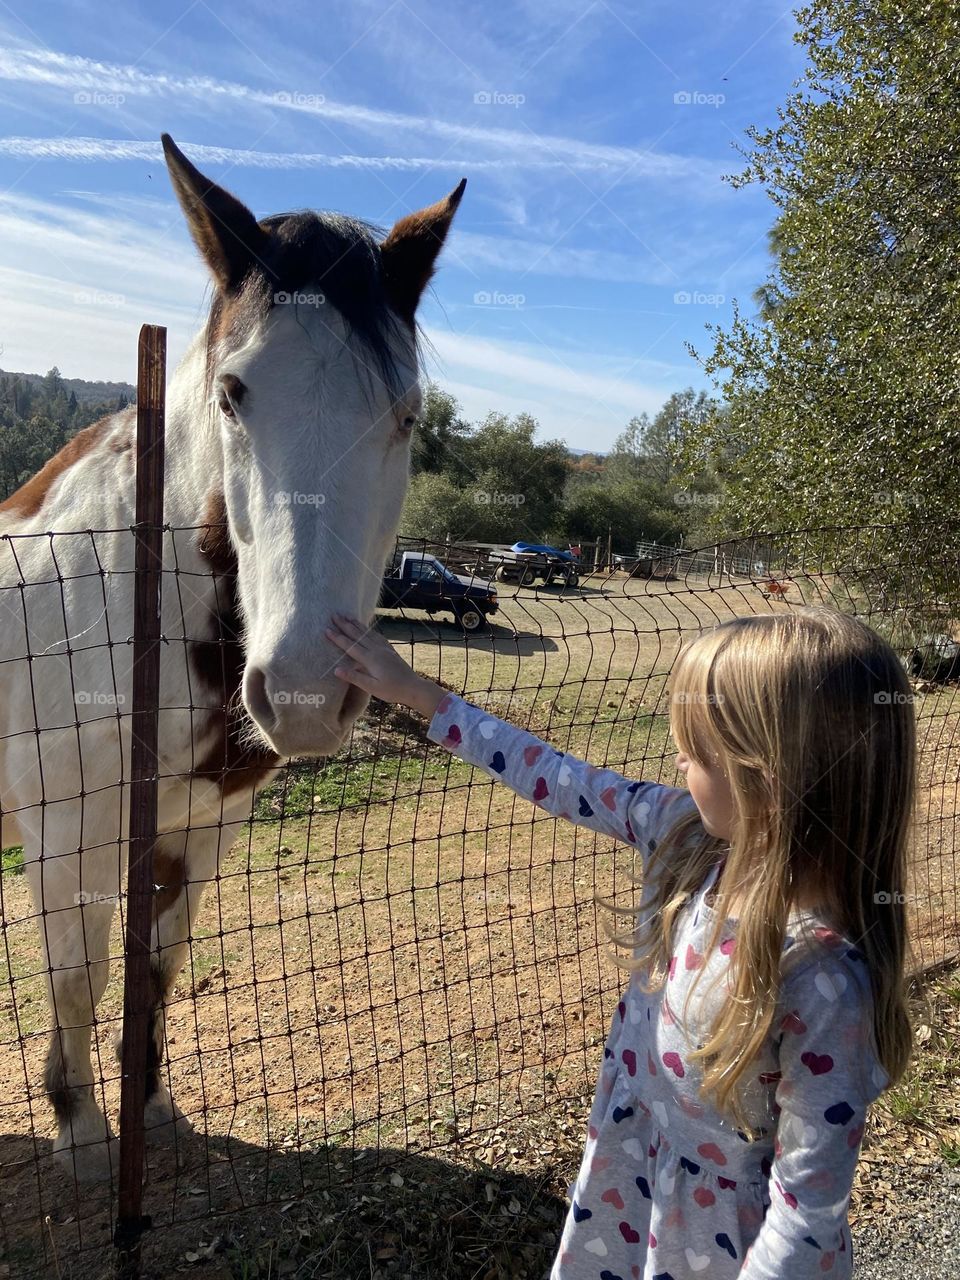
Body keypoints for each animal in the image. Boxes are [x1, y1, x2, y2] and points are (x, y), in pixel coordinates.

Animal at [0, 132, 465, 1177]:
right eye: (231, 392)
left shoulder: (205, 829)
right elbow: (78, 973)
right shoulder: (63, 834)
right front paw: (80, 1129)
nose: (301, 691)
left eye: (407, 414)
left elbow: (158, 965)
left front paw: (152, 1106)